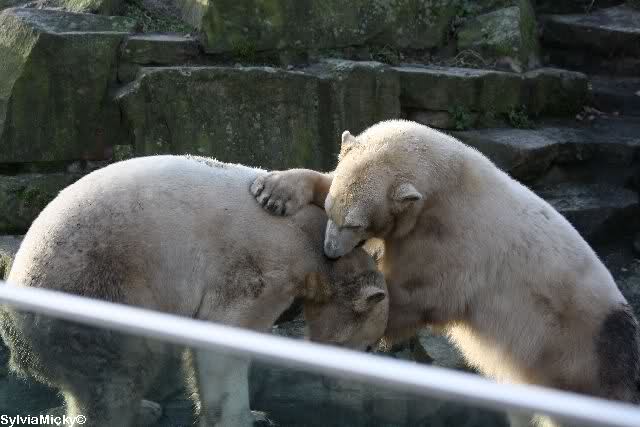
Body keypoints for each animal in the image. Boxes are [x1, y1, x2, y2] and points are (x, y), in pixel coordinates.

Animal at [0, 155, 389, 427]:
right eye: (369, 346)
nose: (350, 385)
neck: (316, 245)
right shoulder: (263, 267)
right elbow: (225, 337)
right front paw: (247, 417)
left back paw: (146, 407)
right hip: (94, 290)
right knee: (115, 375)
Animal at [251, 120, 640, 415]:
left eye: (357, 224)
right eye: (333, 213)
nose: (330, 252)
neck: (448, 184)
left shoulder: (454, 241)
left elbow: (417, 293)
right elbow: (327, 178)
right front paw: (273, 190)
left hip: (577, 352)